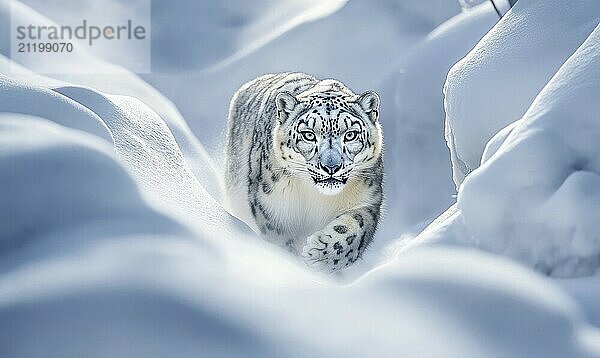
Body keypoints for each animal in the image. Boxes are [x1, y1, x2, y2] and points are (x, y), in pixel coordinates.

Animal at [225, 73, 384, 274]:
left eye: (350, 135)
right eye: (308, 135)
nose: (331, 167)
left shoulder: (367, 200)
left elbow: (356, 230)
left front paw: (319, 254)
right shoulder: (272, 208)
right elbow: (280, 241)